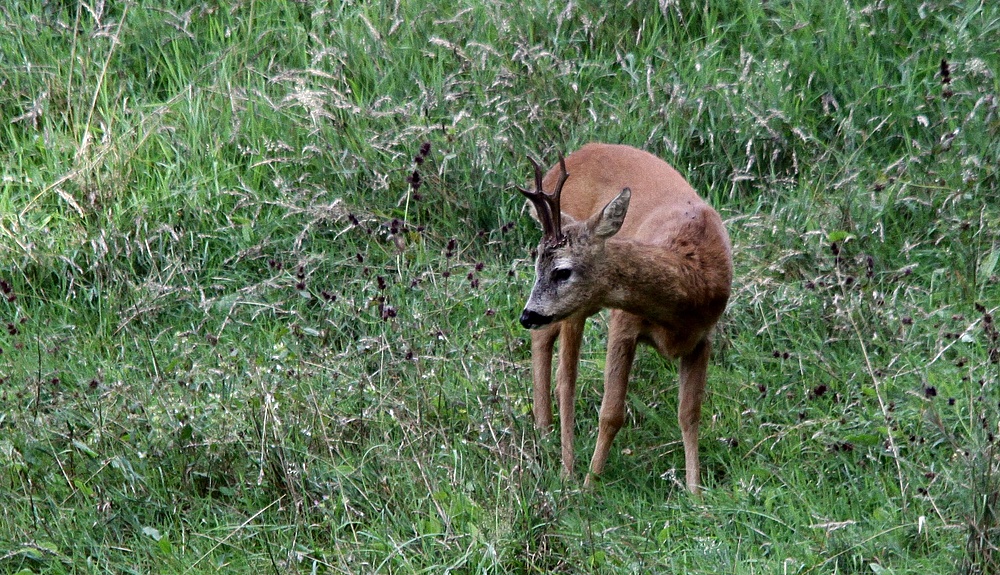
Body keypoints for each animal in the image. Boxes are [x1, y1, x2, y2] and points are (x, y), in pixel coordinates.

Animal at [520, 144, 732, 496]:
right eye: (537, 266)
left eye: (562, 271)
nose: (526, 315)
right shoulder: (623, 324)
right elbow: (611, 413)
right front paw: (590, 484)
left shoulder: (703, 337)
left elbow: (690, 413)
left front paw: (695, 492)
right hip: (578, 309)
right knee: (566, 380)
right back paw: (565, 467)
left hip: (579, 306)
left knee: (545, 339)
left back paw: (544, 431)